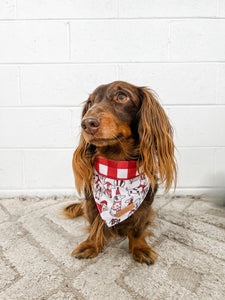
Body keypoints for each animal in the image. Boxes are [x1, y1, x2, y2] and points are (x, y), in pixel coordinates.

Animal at [62, 81, 176, 264]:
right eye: (91, 102)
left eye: (122, 97)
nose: (87, 123)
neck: (116, 165)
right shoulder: (92, 202)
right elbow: (95, 223)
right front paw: (91, 244)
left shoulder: (145, 205)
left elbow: (138, 228)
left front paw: (140, 247)